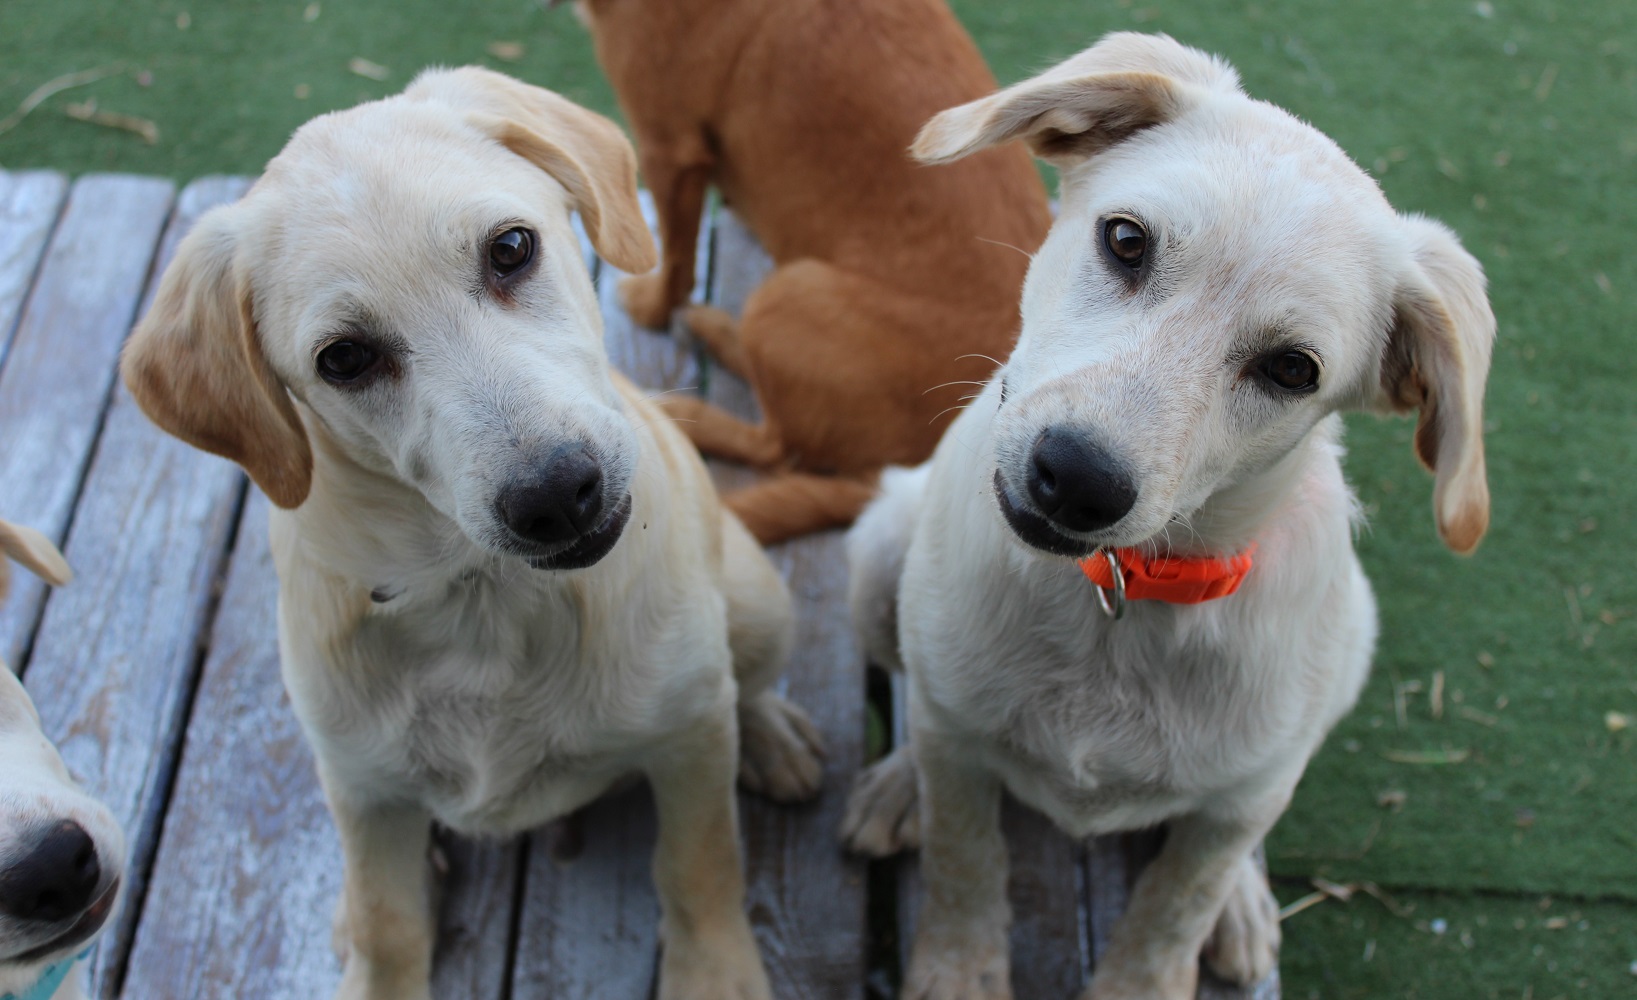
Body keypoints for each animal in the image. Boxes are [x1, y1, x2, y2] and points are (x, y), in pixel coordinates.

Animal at [120, 68, 824, 1000]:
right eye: (344, 359)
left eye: (511, 249)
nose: (557, 496)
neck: (483, 601)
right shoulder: (363, 791)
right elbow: (387, 926)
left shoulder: (687, 739)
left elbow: (699, 864)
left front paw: (715, 971)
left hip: (754, 599)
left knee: (747, 681)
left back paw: (774, 737)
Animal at [575, 0, 1054, 544]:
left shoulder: (665, 149)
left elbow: (673, 259)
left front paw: (652, 306)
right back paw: (715, 330)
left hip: (787, 295)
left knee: (778, 448)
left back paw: (685, 406)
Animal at [840, 33, 1494, 1000]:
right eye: (1125, 240)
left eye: (1292, 370)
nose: (1075, 479)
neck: (1122, 603)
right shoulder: (954, 740)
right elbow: (966, 859)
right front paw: (957, 968)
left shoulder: (1234, 808)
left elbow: (1172, 907)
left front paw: (1183, 935)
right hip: (877, 556)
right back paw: (894, 785)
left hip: (1343, 658)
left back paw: (1246, 905)